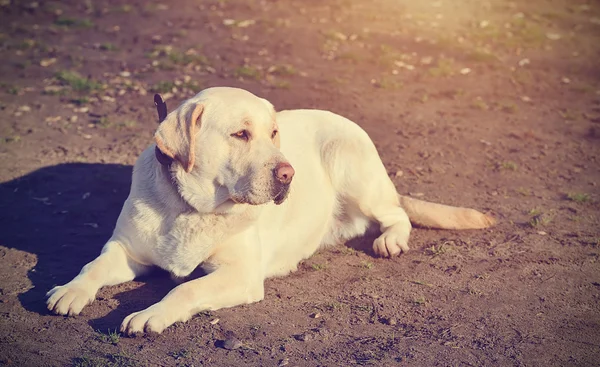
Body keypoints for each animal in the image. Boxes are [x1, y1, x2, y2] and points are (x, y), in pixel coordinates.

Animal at [44, 87, 492, 334]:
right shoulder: (126, 250)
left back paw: (391, 240)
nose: (288, 174)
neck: (192, 207)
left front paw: (149, 314)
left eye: (274, 133)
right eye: (241, 134)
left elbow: (186, 287)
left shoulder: (240, 275)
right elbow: (94, 266)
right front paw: (70, 290)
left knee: (396, 213)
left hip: (350, 163)